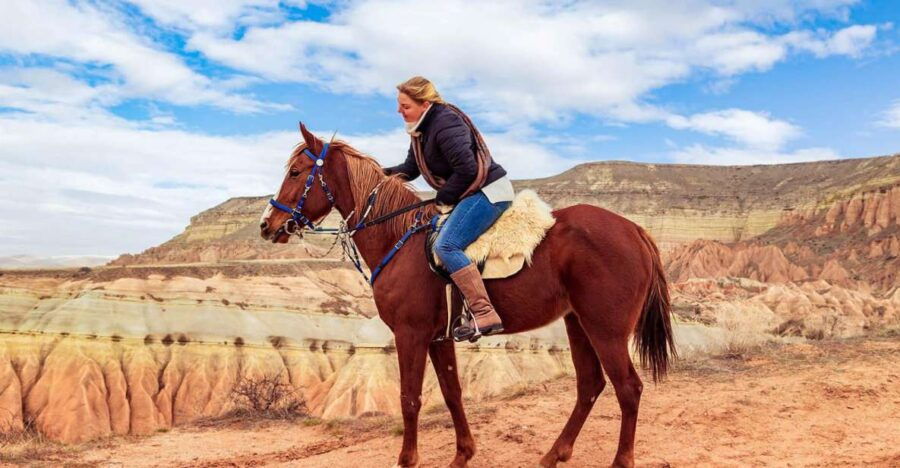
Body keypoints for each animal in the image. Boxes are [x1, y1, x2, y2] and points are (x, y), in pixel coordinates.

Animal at [259, 124, 676, 468]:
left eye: (296, 172)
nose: (267, 224)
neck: (399, 239)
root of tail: (635, 230)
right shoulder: (438, 339)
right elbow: (452, 393)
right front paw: (463, 454)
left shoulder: (410, 335)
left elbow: (410, 399)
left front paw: (407, 460)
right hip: (579, 323)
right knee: (590, 385)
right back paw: (553, 454)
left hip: (606, 329)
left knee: (629, 388)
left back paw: (618, 460)